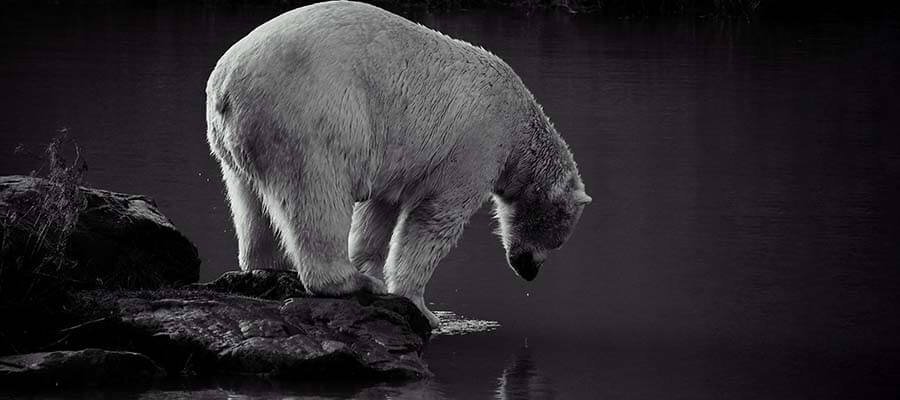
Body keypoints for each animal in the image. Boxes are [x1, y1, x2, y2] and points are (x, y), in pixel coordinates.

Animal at [207, 0, 596, 328]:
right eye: (559, 238)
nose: (528, 271)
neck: (519, 126)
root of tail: (227, 84)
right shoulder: (476, 147)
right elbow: (434, 220)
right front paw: (421, 307)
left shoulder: (396, 163)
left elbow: (378, 212)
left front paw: (369, 262)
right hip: (313, 115)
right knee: (317, 197)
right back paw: (351, 282)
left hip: (239, 138)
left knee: (248, 200)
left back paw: (265, 268)